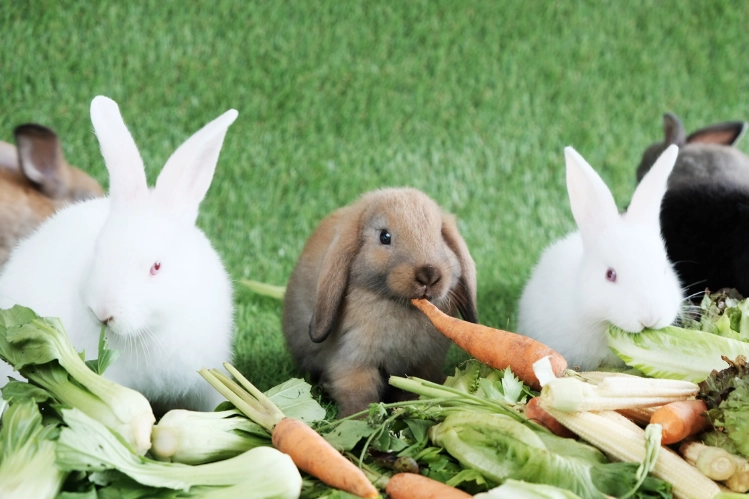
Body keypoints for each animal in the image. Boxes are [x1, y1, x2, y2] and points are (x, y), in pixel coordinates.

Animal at [282, 187, 478, 417]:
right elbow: (359, 396)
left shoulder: (424, 364)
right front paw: (358, 420)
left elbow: (414, 390)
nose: (428, 274)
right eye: (385, 236)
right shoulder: (353, 361)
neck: (402, 306)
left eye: (440, 235)